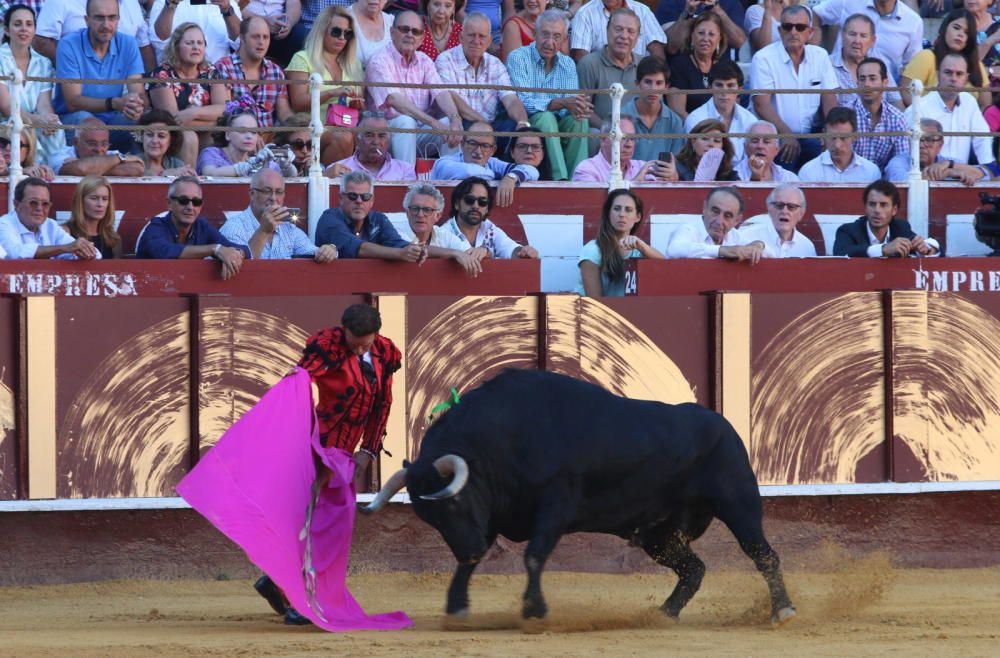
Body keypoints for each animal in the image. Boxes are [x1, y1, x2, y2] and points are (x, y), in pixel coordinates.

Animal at [368, 372, 796, 624]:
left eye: (453, 503)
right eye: (430, 519)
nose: (468, 548)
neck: (499, 438)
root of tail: (724, 424)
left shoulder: (554, 504)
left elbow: (534, 555)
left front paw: (534, 610)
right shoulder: (491, 514)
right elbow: (471, 566)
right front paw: (457, 606)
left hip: (738, 504)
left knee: (764, 555)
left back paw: (784, 610)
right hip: (659, 534)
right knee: (694, 569)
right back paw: (663, 614)